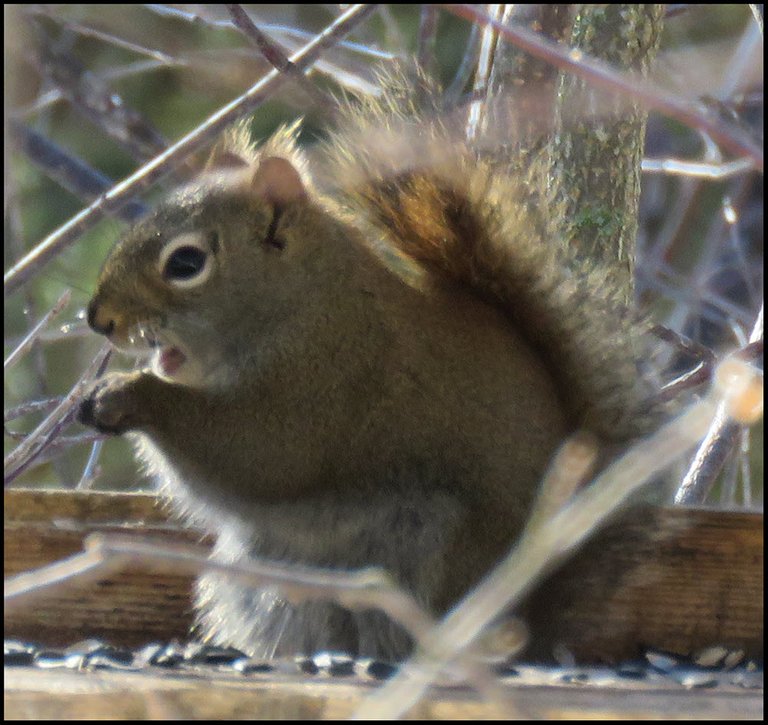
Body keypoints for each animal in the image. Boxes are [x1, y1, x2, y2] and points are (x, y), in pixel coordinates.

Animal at [76, 69, 660, 660]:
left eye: (186, 262)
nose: (98, 318)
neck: (302, 298)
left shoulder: (329, 376)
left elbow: (257, 452)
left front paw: (129, 394)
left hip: (429, 545)